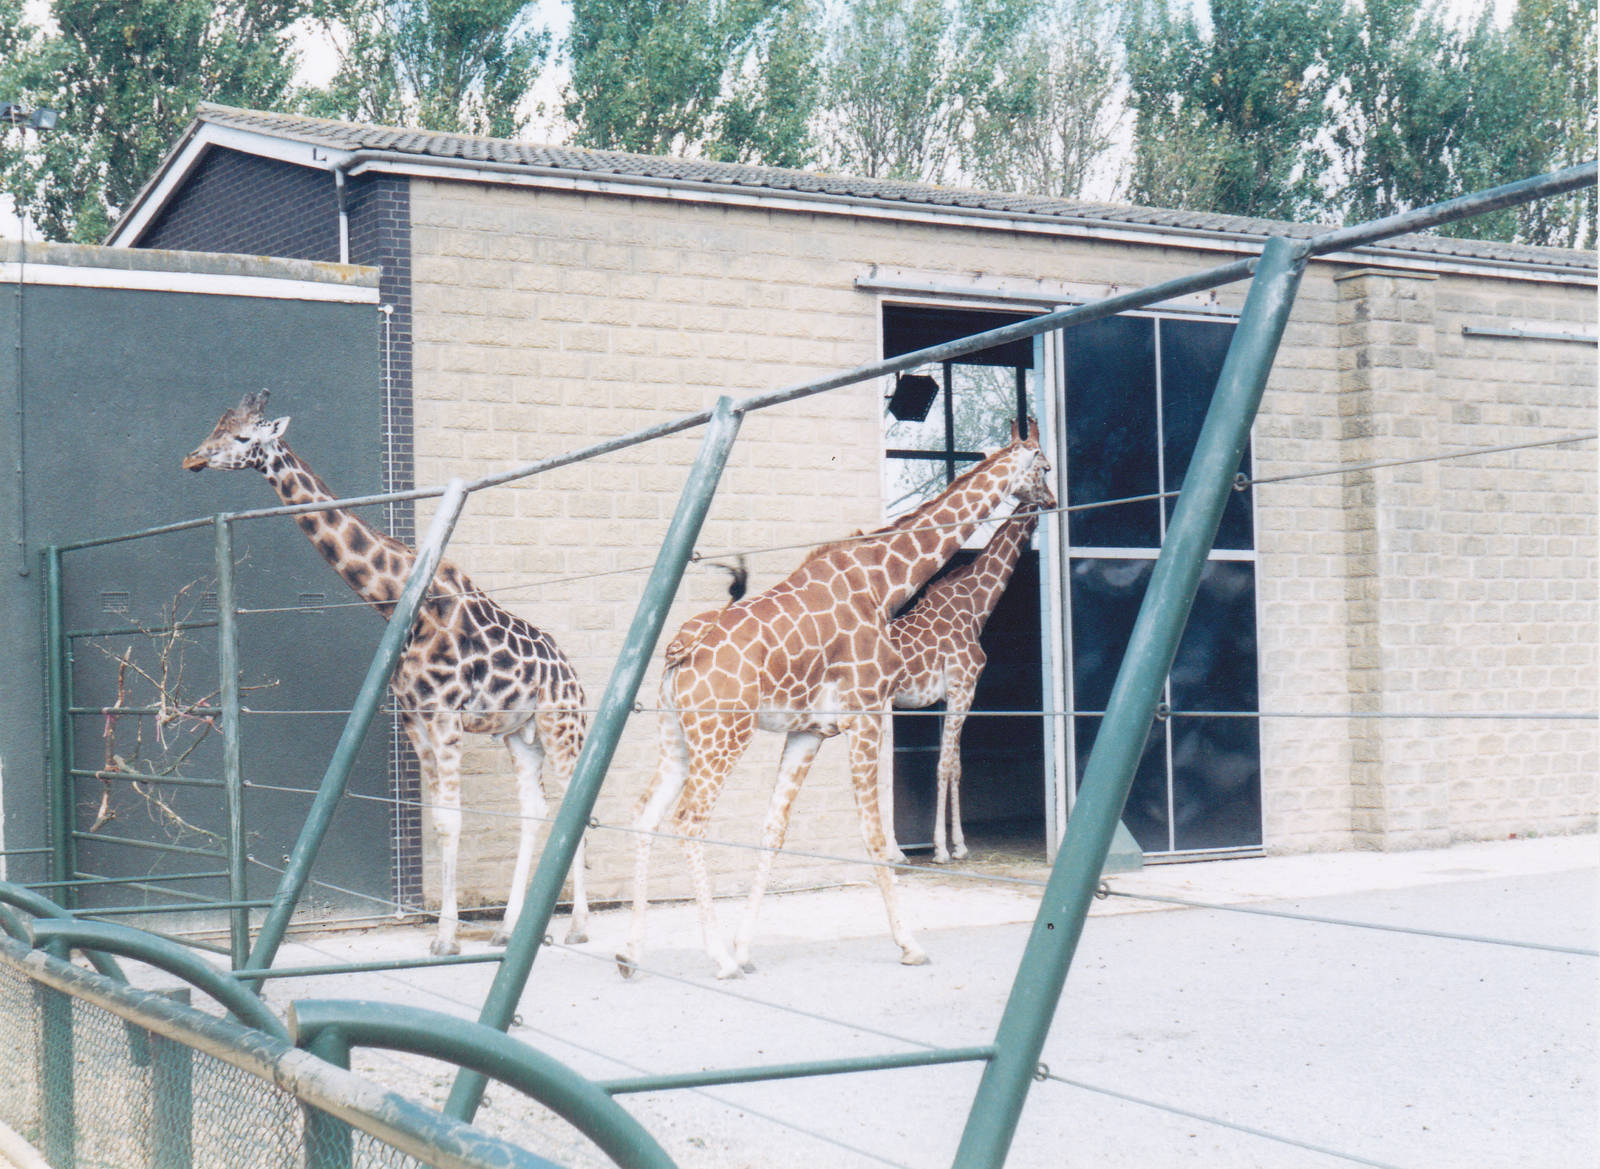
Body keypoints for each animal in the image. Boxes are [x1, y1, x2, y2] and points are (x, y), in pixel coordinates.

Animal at [182, 391, 589, 956]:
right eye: (216, 426)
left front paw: (445, 940)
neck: (401, 602)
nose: (192, 458)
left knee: (573, 804)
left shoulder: (444, 716)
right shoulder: (415, 719)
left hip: (560, 725)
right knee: (534, 807)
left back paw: (577, 928)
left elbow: (451, 820)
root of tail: (574, 676)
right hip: (519, 733)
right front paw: (450, 934)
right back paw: (509, 930)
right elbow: (441, 820)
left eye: (244, 436)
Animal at [890, 471, 1057, 864]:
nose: (1055, 501)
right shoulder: (962, 690)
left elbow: (956, 766)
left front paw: (960, 844)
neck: (976, 606)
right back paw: (894, 851)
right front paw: (940, 849)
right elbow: (943, 765)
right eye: (1044, 476)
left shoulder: (955, 697)